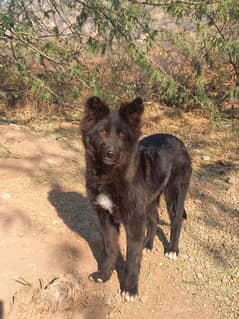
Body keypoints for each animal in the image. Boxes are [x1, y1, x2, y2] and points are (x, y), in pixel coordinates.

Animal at [81, 96, 192, 302]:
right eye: (103, 131)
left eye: (122, 135)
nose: (111, 154)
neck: (110, 175)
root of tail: (177, 139)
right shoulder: (106, 217)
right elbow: (110, 249)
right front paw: (104, 275)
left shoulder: (133, 221)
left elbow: (132, 257)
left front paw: (130, 289)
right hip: (149, 200)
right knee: (154, 219)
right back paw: (147, 244)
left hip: (174, 194)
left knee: (176, 221)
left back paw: (173, 249)